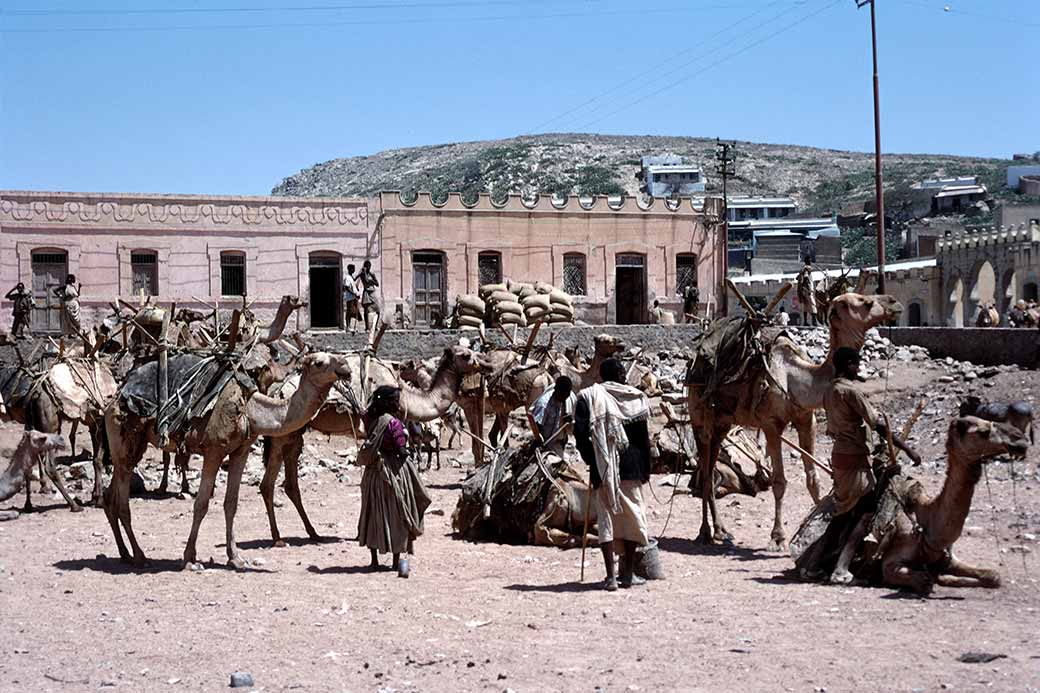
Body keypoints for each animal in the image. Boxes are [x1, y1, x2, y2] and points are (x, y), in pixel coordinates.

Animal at [102, 351, 351, 566]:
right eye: (319, 362)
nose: (346, 367)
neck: (249, 409)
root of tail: (114, 399)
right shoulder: (214, 451)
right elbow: (201, 504)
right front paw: (189, 558)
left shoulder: (241, 450)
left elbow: (231, 503)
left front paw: (236, 558)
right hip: (124, 437)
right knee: (123, 502)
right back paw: (139, 556)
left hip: (127, 447)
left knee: (110, 496)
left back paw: (124, 553)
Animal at [257, 345, 488, 545]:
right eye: (466, 355)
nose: (485, 362)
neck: (406, 397)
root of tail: (276, 392)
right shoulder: (378, 423)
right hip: (282, 435)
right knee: (268, 484)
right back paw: (278, 538)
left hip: (295, 434)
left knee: (290, 483)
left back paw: (313, 533)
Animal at [682, 289, 902, 549]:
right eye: (864, 302)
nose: (894, 303)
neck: (796, 378)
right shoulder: (771, 424)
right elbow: (779, 482)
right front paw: (778, 537)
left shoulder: (807, 420)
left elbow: (813, 479)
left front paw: (817, 526)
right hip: (698, 416)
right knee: (706, 471)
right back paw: (705, 532)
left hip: (723, 423)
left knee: (710, 466)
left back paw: (721, 530)